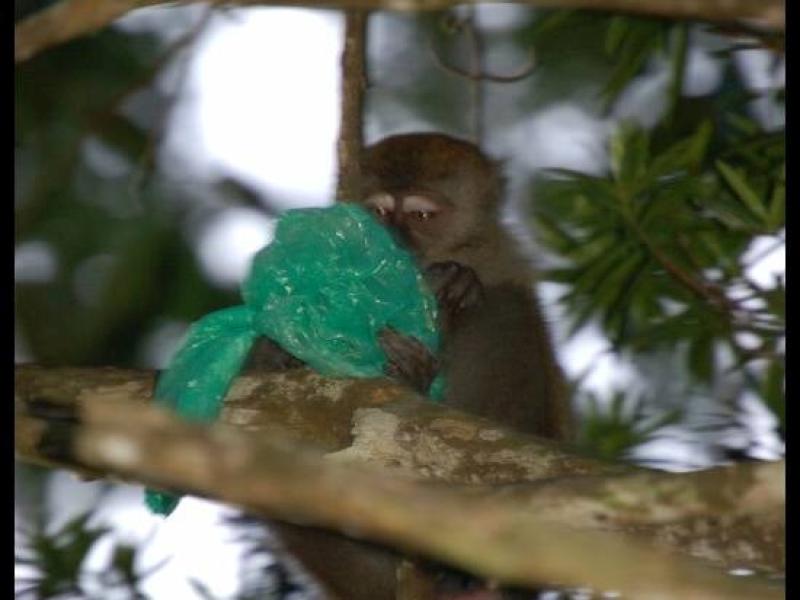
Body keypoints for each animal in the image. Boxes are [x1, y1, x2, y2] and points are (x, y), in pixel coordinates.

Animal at [247, 132, 574, 599]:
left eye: (421, 215)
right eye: (380, 213)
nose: (395, 245)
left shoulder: (501, 262)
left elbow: (500, 298)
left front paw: (456, 286)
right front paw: (277, 353)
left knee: (504, 312)